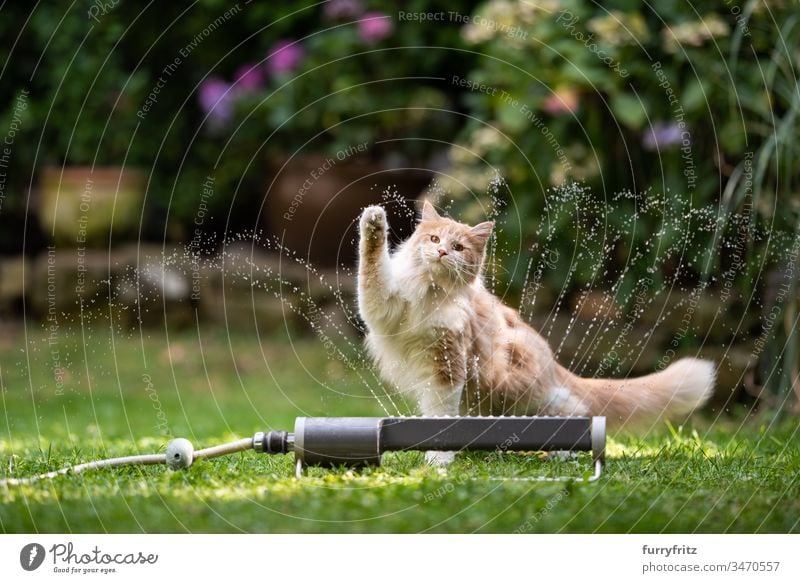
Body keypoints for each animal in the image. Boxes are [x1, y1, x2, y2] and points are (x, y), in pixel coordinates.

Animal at [356, 201, 712, 466]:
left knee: (575, 409)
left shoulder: (449, 364)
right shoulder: (384, 308)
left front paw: (438, 460)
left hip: (520, 389)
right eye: (433, 240)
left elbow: (441, 417)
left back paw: (564, 451)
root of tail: (552, 362)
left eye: (457, 247)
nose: (442, 253)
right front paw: (373, 223)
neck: (430, 292)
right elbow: (371, 268)